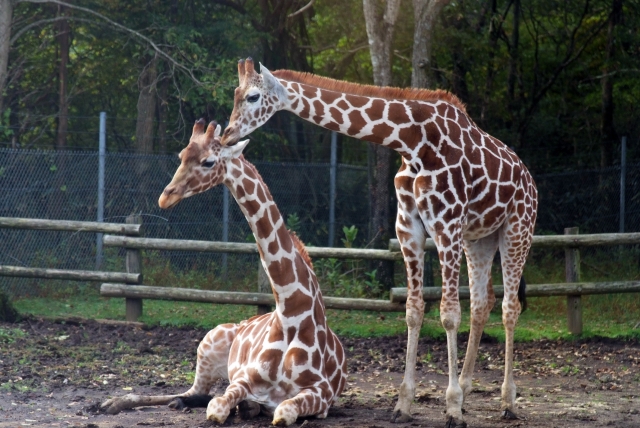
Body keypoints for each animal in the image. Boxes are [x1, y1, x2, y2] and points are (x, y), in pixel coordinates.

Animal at [100, 119, 348, 424]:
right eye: (181, 156)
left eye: (208, 161)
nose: (165, 198)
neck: (291, 311)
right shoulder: (242, 380)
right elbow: (217, 407)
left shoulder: (321, 394)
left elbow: (283, 410)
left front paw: (251, 407)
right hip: (206, 345)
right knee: (190, 392)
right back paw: (111, 403)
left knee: (197, 395)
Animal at [220, 58, 536, 426]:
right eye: (235, 94)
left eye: (253, 96)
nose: (227, 135)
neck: (413, 142)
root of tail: (530, 179)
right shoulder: (409, 228)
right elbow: (414, 310)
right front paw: (404, 404)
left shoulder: (446, 225)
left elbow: (448, 313)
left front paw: (452, 407)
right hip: (480, 238)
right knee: (483, 303)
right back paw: (470, 388)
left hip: (517, 229)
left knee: (509, 307)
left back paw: (508, 401)